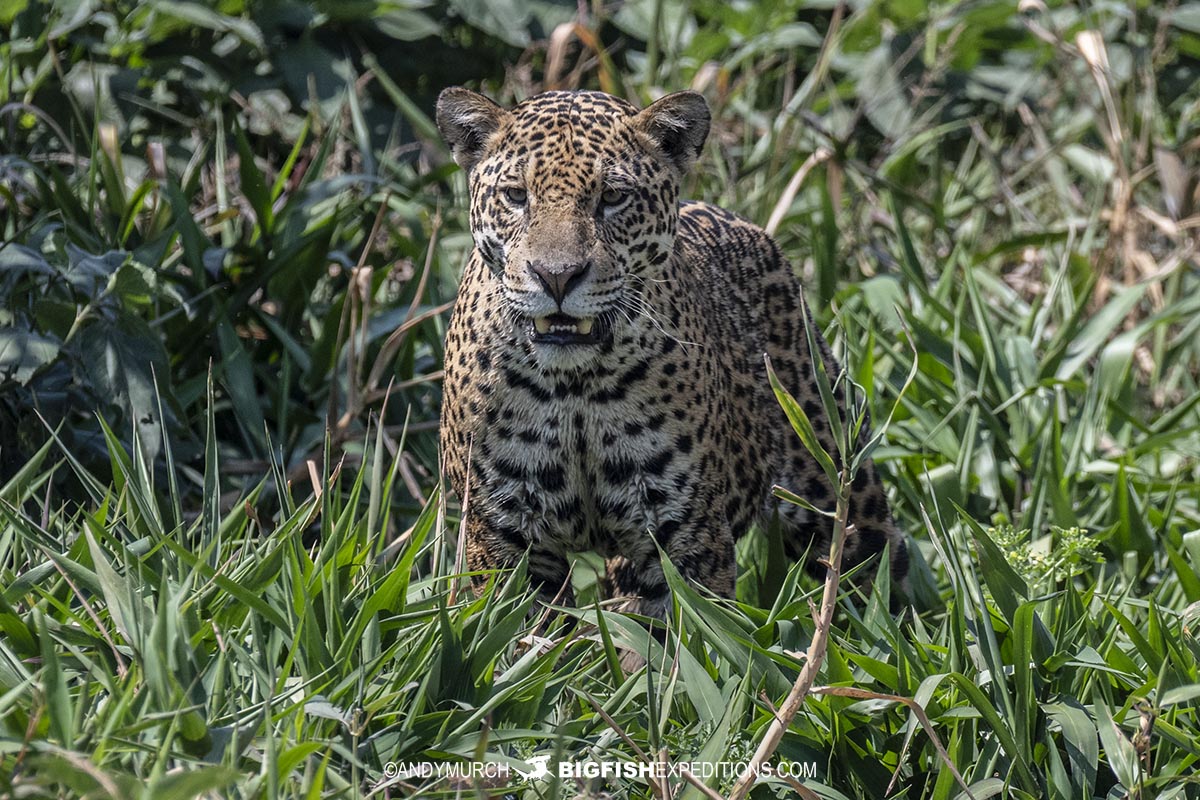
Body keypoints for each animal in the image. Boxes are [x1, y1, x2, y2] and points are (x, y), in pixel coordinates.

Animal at [435, 86, 907, 631]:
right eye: (516, 196)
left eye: (612, 197)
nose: (556, 276)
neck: (576, 386)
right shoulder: (504, 534)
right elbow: (517, 636)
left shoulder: (682, 532)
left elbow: (688, 639)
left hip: (832, 476)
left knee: (872, 567)